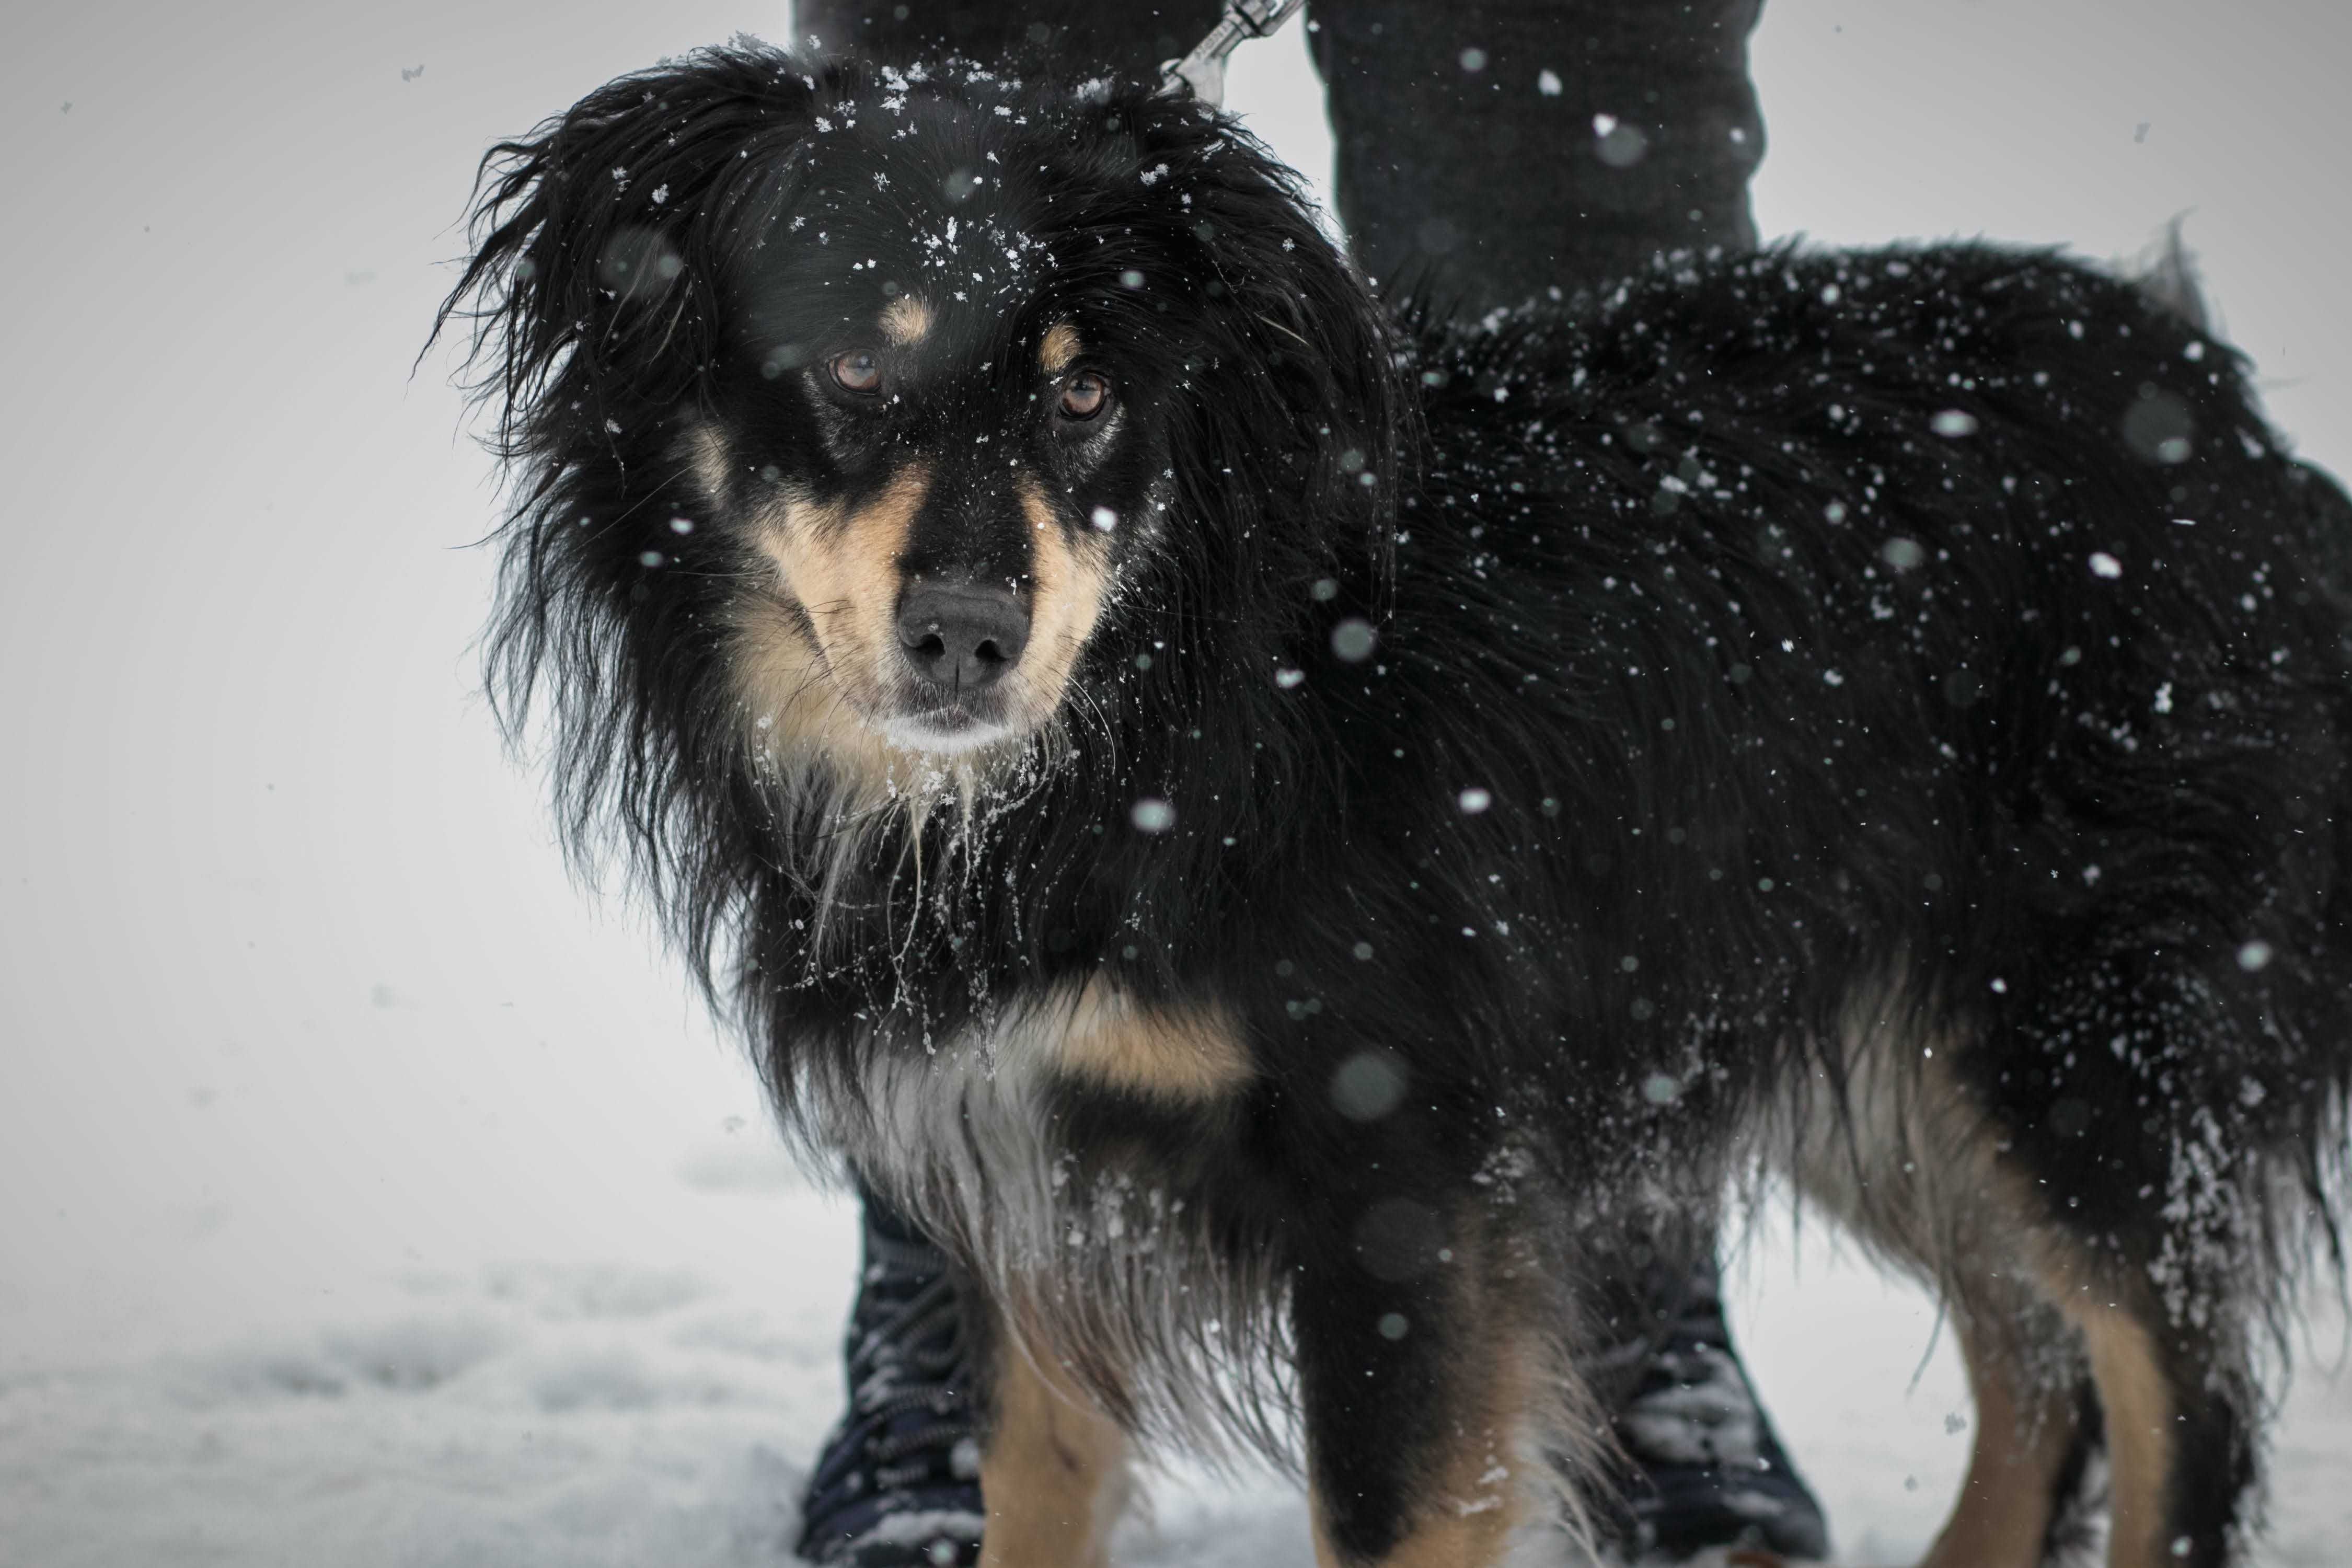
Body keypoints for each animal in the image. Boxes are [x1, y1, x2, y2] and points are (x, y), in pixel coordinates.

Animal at [442, 46, 2352, 1568]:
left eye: (1085, 390)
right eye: (853, 364)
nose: (970, 634)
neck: (1180, 707)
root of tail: (2217, 399)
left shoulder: (1395, 1165)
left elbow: (1384, 1517)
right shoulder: (1035, 1147)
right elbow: (1031, 1483)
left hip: (2083, 1042)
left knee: (2178, 1399)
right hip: (1885, 1039)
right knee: (2037, 1359)